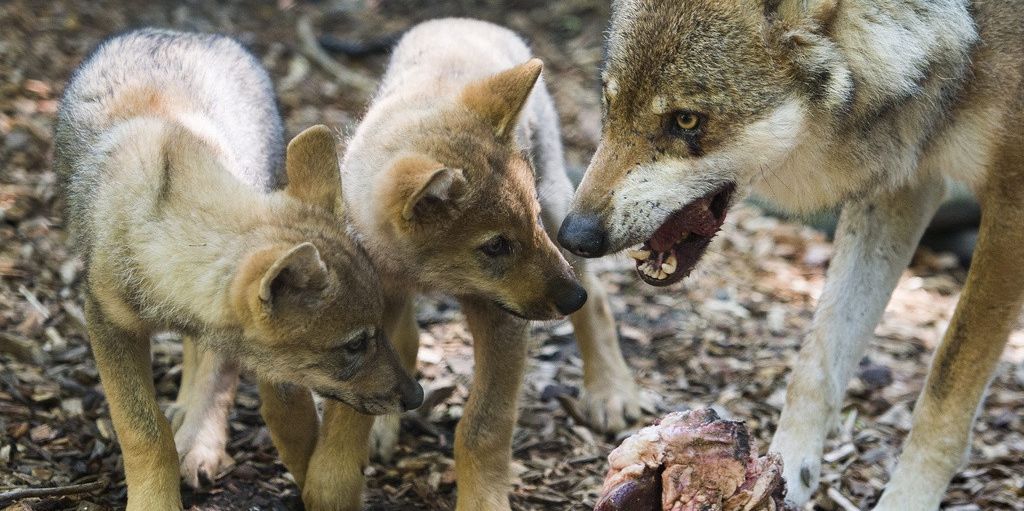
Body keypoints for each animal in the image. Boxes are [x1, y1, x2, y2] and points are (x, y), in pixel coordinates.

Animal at [54, 28, 422, 510]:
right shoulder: (108, 324)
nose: (417, 396)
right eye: (355, 344)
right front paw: (156, 499)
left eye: (376, 332)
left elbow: (286, 413)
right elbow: (143, 431)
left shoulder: (253, 349)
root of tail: (192, 33)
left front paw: (317, 484)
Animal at [558, 0, 1024, 509]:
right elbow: (815, 363)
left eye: (685, 120)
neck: (965, 30)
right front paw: (788, 475)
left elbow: (944, 391)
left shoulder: (1010, 205)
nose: (574, 234)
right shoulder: (903, 181)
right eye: (610, 103)